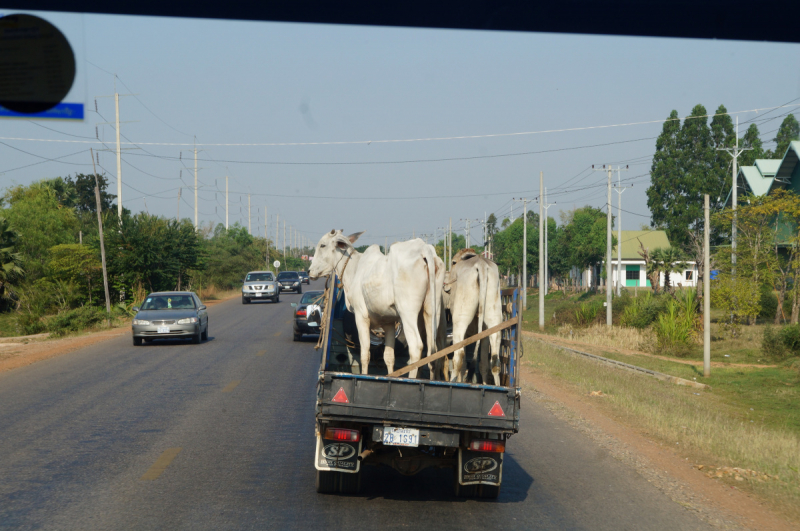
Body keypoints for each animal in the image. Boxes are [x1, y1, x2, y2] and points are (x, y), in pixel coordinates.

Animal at [310, 232, 440, 378]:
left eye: (322, 245)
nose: (309, 271)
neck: (355, 268)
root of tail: (423, 249)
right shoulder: (389, 323)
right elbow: (389, 357)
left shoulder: (361, 316)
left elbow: (365, 354)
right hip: (432, 310)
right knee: (433, 351)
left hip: (407, 312)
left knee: (416, 347)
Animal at [440, 249, 504, 386]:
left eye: (453, 262)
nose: (445, 285)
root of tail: (481, 265)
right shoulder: (484, 334)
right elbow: (483, 362)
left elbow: (463, 364)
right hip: (494, 320)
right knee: (494, 360)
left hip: (461, 321)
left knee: (458, 357)